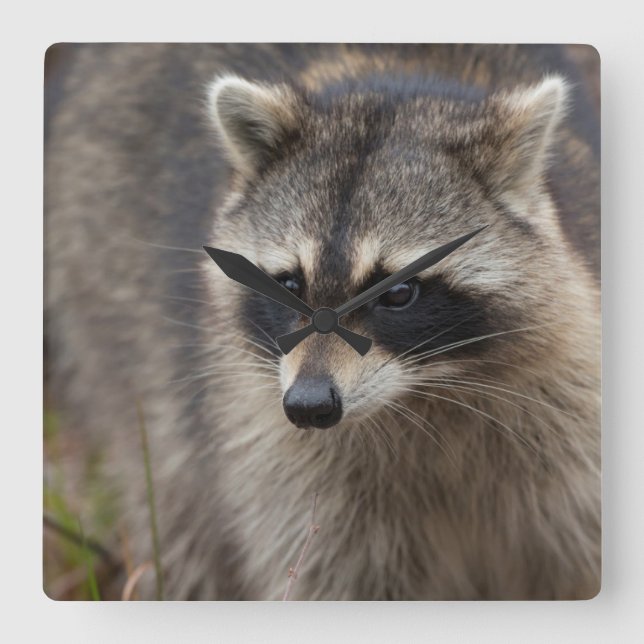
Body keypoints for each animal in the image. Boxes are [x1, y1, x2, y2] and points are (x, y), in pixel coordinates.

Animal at [45, 44, 600, 600]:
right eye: (290, 285)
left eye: (398, 293)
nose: (309, 405)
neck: (426, 392)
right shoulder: (273, 449)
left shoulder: (569, 431)